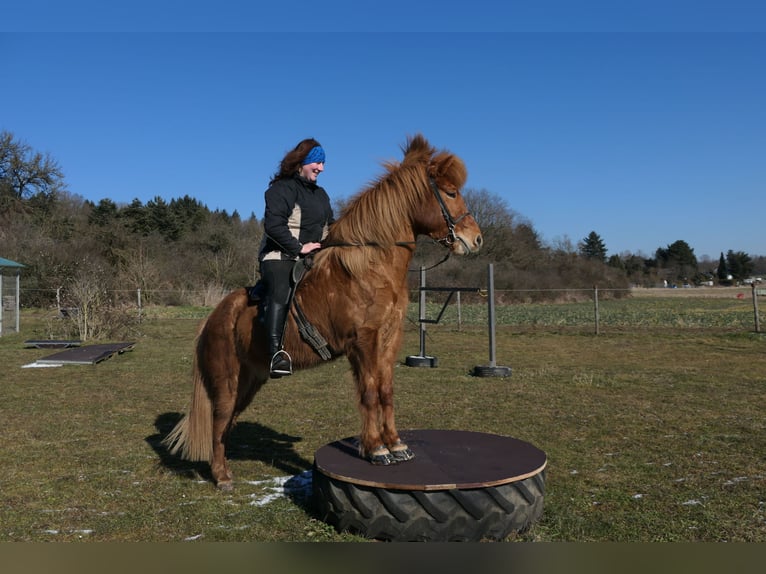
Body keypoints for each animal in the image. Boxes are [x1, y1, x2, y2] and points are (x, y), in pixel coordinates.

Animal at [164, 135, 484, 490]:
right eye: (451, 192)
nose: (476, 239)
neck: (372, 267)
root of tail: (212, 318)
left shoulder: (388, 339)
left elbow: (385, 390)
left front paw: (395, 444)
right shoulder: (363, 342)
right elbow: (369, 392)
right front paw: (377, 450)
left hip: (250, 380)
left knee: (227, 423)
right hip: (227, 381)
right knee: (219, 421)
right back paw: (221, 476)